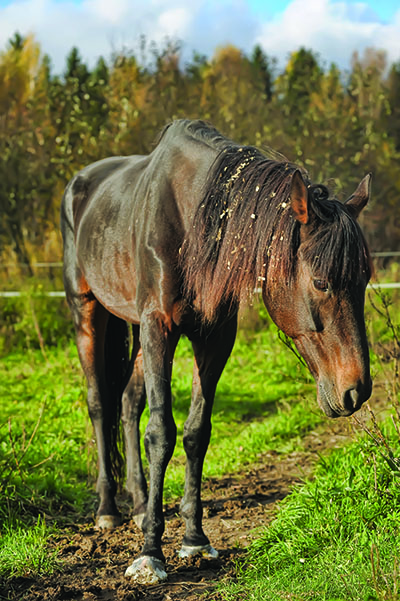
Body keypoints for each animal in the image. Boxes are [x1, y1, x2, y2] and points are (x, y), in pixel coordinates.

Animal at [61, 119, 374, 584]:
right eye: (321, 282)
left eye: (365, 278)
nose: (357, 390)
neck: (194, 220)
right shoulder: (159, 327)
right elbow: (162, 433)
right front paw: (150, 553)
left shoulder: (215, 337)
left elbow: (196, 433)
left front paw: (194, 538)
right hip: (88, 312)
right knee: (100, 403)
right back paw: (108, 511)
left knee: (129, 403)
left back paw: (140, 504)